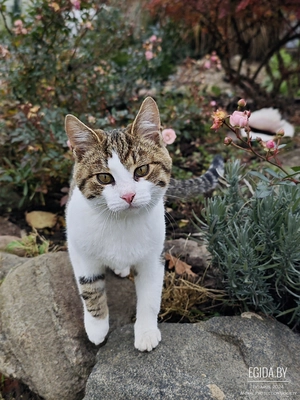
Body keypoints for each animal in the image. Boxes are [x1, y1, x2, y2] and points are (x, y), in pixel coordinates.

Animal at [63, 98, 223, 352]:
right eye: (104, 177)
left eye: (142, 169)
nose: (128, 195)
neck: (121, 223)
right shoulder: (80, 251)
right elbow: (89, 286)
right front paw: (97, 327)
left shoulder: (153, 257)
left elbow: (150, 296)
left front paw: (146, 332)